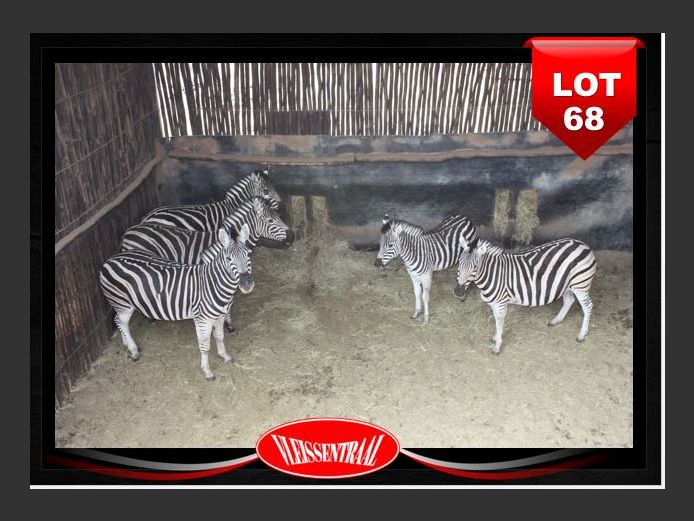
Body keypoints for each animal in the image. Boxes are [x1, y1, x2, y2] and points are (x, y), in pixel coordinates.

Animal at [100, 226, 254, 380]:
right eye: (229, 258)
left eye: (248, 254)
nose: (246, 285)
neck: (212, 284)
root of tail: (110, 259)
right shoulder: (202, 319)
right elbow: (205, 346)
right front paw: (207, 371)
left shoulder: (220, 316)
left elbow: (219, 337)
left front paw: (224, 356)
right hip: (123, 303)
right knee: (122, 322)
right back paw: (133, 350)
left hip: (124, 304)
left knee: (118, 321)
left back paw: (127, 343)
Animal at [453, 236, 597, 354]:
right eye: (459, 262)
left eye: (475, 266)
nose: (458, 292)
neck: (493, 274)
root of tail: (582, 244)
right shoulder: (494, 303)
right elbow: (496, 321)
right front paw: (495, 338)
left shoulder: (501, 302)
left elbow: (499, 321)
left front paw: (497, 345)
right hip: (566, 285)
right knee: (569, 301)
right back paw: (556, 320)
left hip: (580, 285)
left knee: (588, 306)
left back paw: (582, 335)